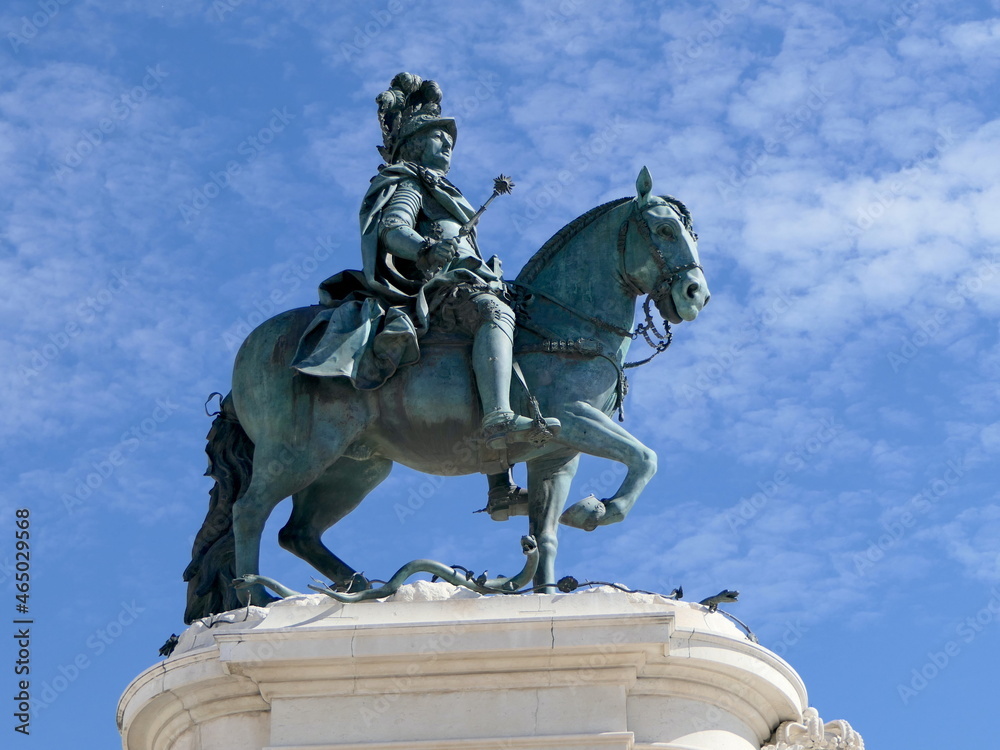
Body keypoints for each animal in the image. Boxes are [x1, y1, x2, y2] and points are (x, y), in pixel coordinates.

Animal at [182, 167, 712, 620]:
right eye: (664, 230)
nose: (696, 294)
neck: (563, 327)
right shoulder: (573, 418)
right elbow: (645, 457)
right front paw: (597, 509)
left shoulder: (557, 454)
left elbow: (546, 533)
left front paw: (546, 592)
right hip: (297, 453)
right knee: (249, 511)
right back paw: (255, 599)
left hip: (353, 467)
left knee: (298, 532)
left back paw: (361, 588)